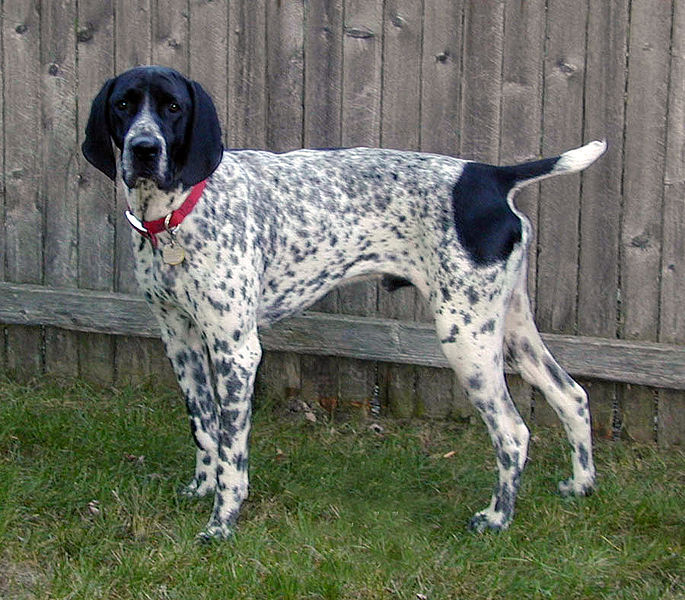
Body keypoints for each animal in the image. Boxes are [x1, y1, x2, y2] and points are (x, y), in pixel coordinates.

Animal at [81, 65, 604, 540]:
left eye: (173, 107)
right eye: (123, 104)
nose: (144, 149)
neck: (176, 212)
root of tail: (490, 176)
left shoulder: (236, 350)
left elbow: (232, 452)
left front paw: (222, 522)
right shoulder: (179, 339)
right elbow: (205, 428)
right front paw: (200, 490)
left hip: (468, 339)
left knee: (513, 433)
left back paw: (497, 518)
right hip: (512, 330)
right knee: (573, 396)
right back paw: (580, 486)